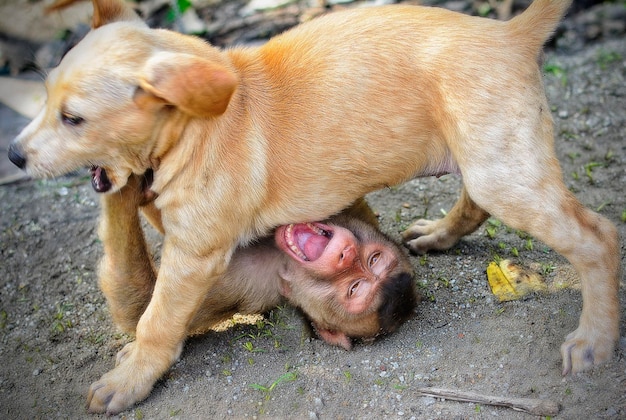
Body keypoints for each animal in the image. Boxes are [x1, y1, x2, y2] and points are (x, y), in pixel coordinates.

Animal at [100, 172, 416, 350]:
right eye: (373, 259)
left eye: (354, 288)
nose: (346, 253)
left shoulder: (251, 280)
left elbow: (139, 307)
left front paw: (122, 189)